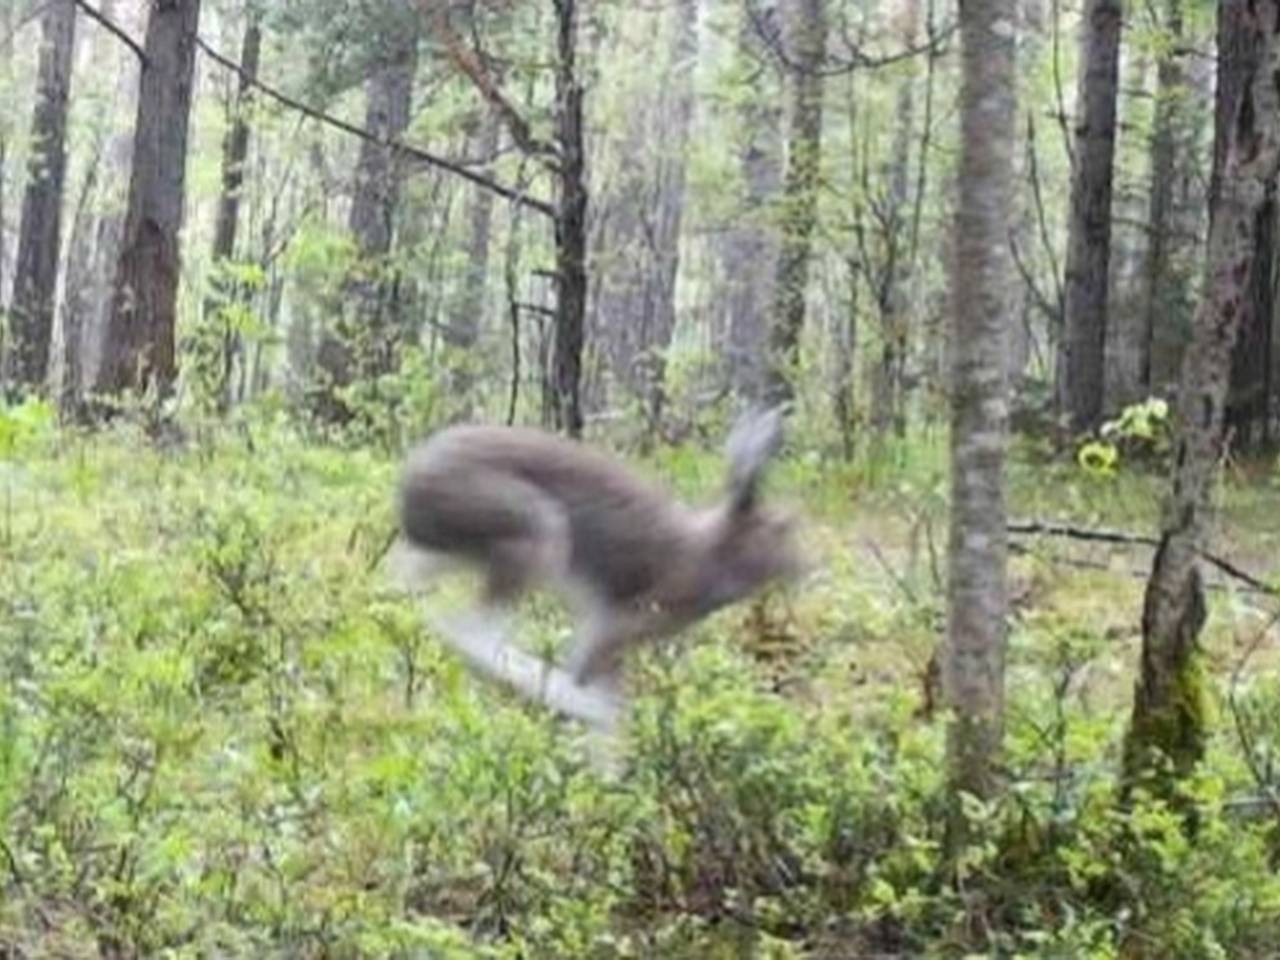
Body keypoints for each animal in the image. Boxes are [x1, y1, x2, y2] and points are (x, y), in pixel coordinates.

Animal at [391, 407, 803, 736]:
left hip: (460, 552)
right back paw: (570, 699)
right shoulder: (615, 628)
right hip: (532, 530)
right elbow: (598, 688)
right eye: (781, 528)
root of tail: (413, 480)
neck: (711, 549)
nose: (807, 565)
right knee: (469, 631)